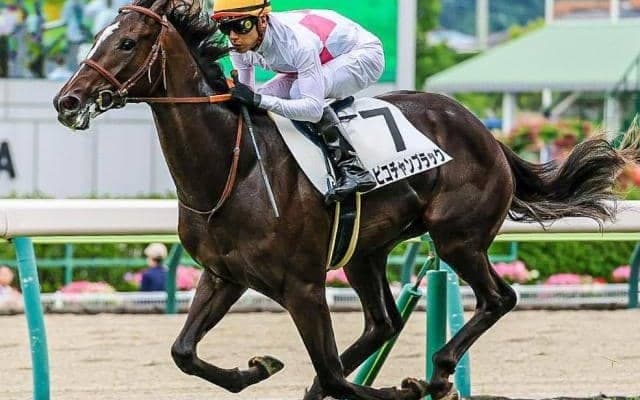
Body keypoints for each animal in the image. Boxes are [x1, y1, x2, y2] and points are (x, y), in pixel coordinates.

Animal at [52, 1, 639, 399]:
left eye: (126, 43)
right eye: (98, 39)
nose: (67, 101)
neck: (233, 170)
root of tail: (485, 133)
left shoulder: (303, 286)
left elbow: (335, 375)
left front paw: (402, 387)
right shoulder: (223, 276)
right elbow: (184, 352)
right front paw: (257, 369)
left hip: (458, 238)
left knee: (499, 298)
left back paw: (437, 373)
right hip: (366, 251)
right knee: (384, 322)